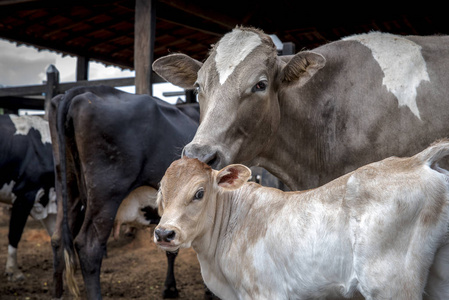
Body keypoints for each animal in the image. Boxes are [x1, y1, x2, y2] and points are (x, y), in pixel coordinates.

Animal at [47, 85, 200, 298]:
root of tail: (83, 91)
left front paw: (170, 288)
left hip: (66, 183)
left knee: (58, 238)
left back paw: (58, 294)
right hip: (106, 192)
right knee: (89, 246)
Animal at [153, 141, 448, 300]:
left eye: (199, 193)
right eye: (160, 191)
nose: (165, 233)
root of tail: (416, 160)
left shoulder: (266, 292)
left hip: (389, 283)